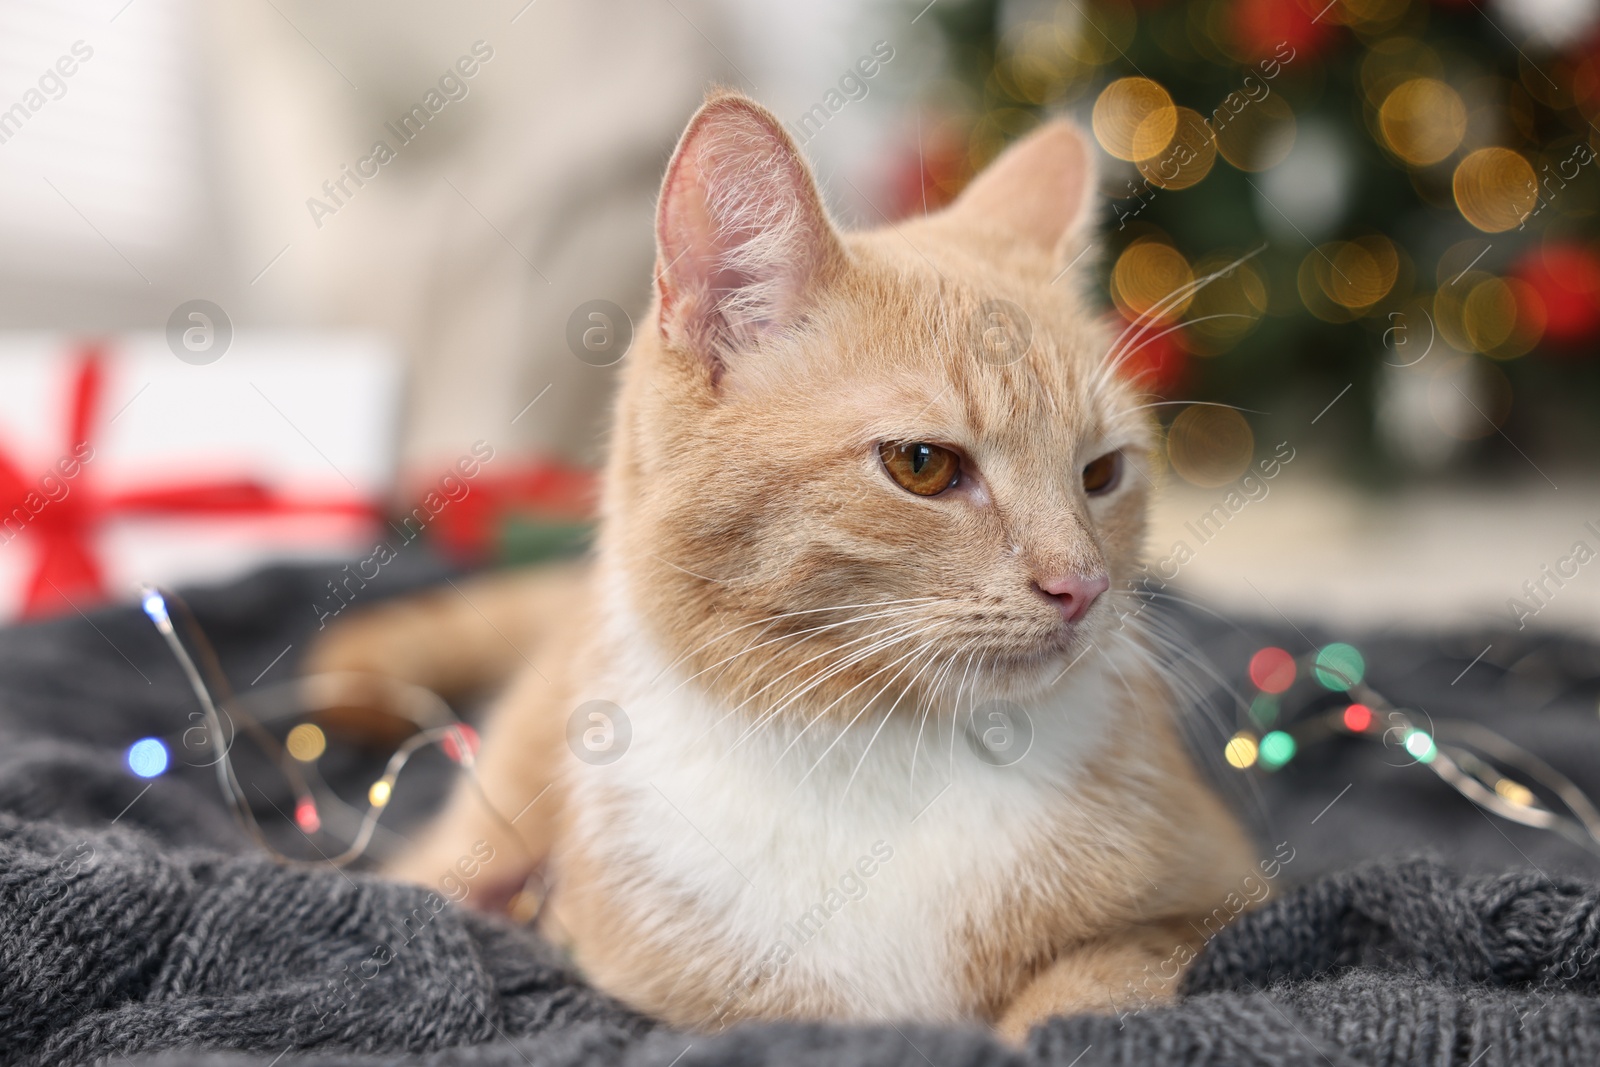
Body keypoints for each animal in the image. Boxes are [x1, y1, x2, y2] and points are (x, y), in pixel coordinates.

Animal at [312, 91, 1254, 1043]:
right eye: (923, 464)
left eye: (1101, 474)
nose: (1083, 586)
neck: (889, 750)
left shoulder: (1220, 902)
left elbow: (1092, 988)